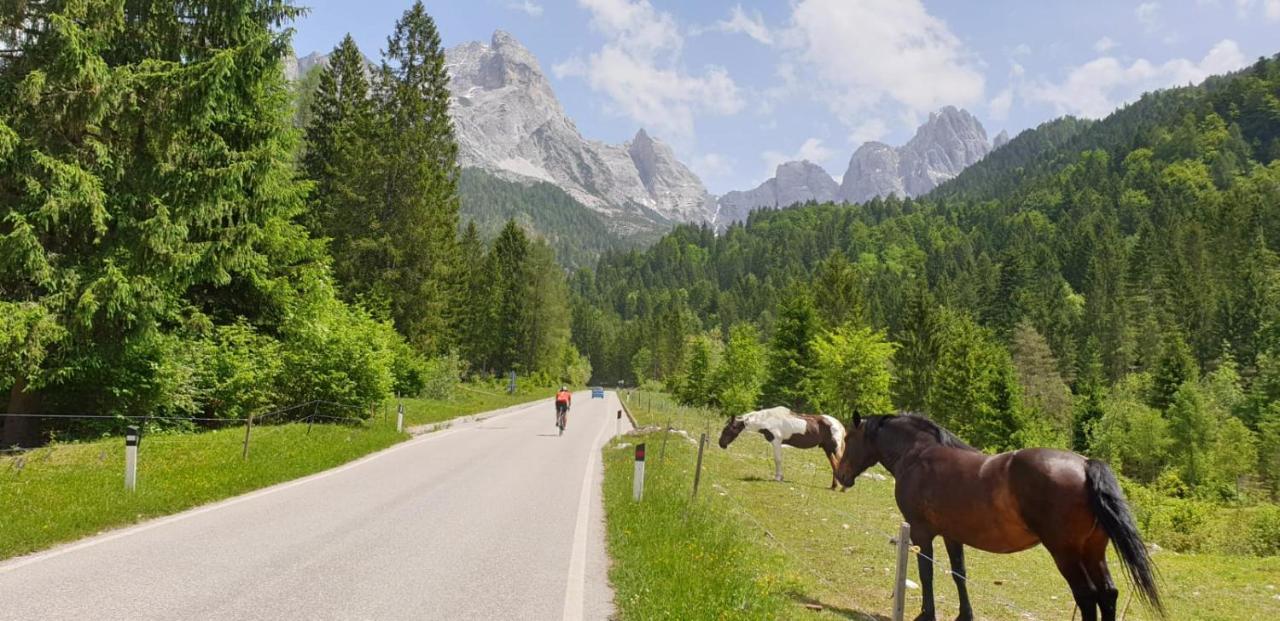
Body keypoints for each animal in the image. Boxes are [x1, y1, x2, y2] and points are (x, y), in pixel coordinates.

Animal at [721, 407, 849, 489]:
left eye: (728, 429)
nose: (721, 444)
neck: (768, 419)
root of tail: (840, 425)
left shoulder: (776, 441)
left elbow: (777, 459)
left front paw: (778, 478)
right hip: (828, 450)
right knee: (834, 465)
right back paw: (833, 486)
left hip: (835, 449)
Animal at [834, 412, 1167, 619]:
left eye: (849, 438)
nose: (841, 476)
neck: (917, 455)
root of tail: (1085, 466)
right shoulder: (952, 535)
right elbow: (958, 573)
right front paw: (963, 615)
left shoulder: (920, 531)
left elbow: (926, 573)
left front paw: (926, 615)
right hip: (1093, 551)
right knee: (1108, 594)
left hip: (1066, 554)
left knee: (1087, 597)